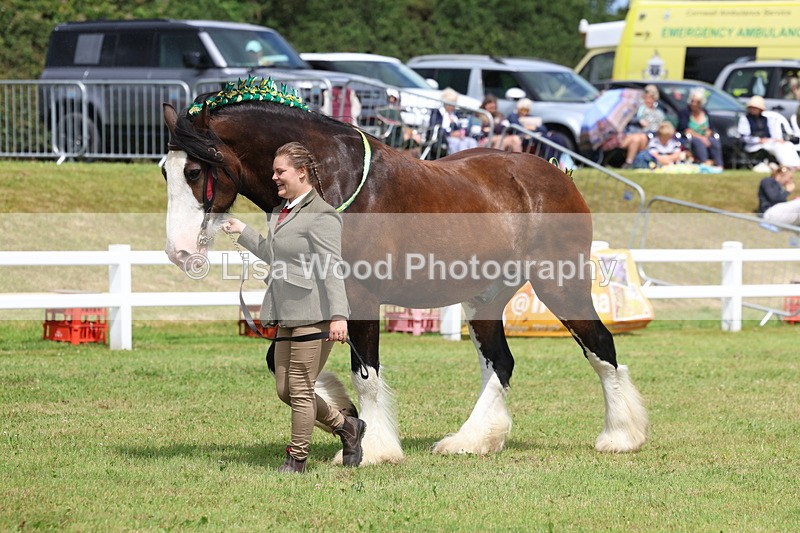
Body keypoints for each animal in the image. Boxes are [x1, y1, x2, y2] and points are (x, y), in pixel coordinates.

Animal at [162, 78, 647, 465]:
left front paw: (372, 447)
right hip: (485, 298)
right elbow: (286, 367)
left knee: (600, 346)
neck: (332, 181)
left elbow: (366, 375)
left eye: (194, 170)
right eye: (165, 170)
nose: (179, 251)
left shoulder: (360, 298)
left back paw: (620, 436)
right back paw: (472, 440)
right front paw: (342, 415)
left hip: (559, 283)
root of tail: (558, 174)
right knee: (501, 363)